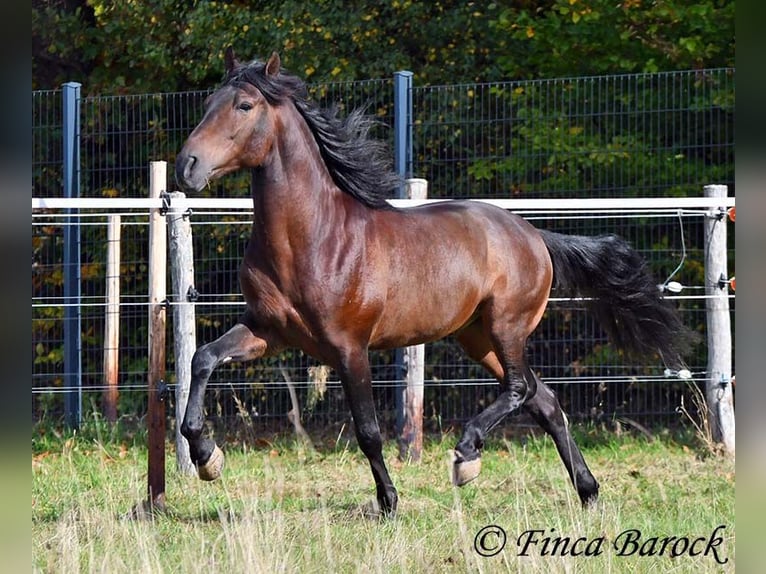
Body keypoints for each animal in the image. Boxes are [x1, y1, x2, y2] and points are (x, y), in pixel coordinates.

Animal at [174, 49, 694, 517]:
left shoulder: (349, 347)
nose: (186, 165)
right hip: (477, 338)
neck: (312, 238)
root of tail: (532, 234)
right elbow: (203, 359)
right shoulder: (269, 331)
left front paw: (389, 503)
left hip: (506, 326)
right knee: (543, 400)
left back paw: (467, 455)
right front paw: (207, 456)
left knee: (521, 389)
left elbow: (368, 431)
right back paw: (587, 493)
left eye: (245, 106)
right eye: (208, 103)